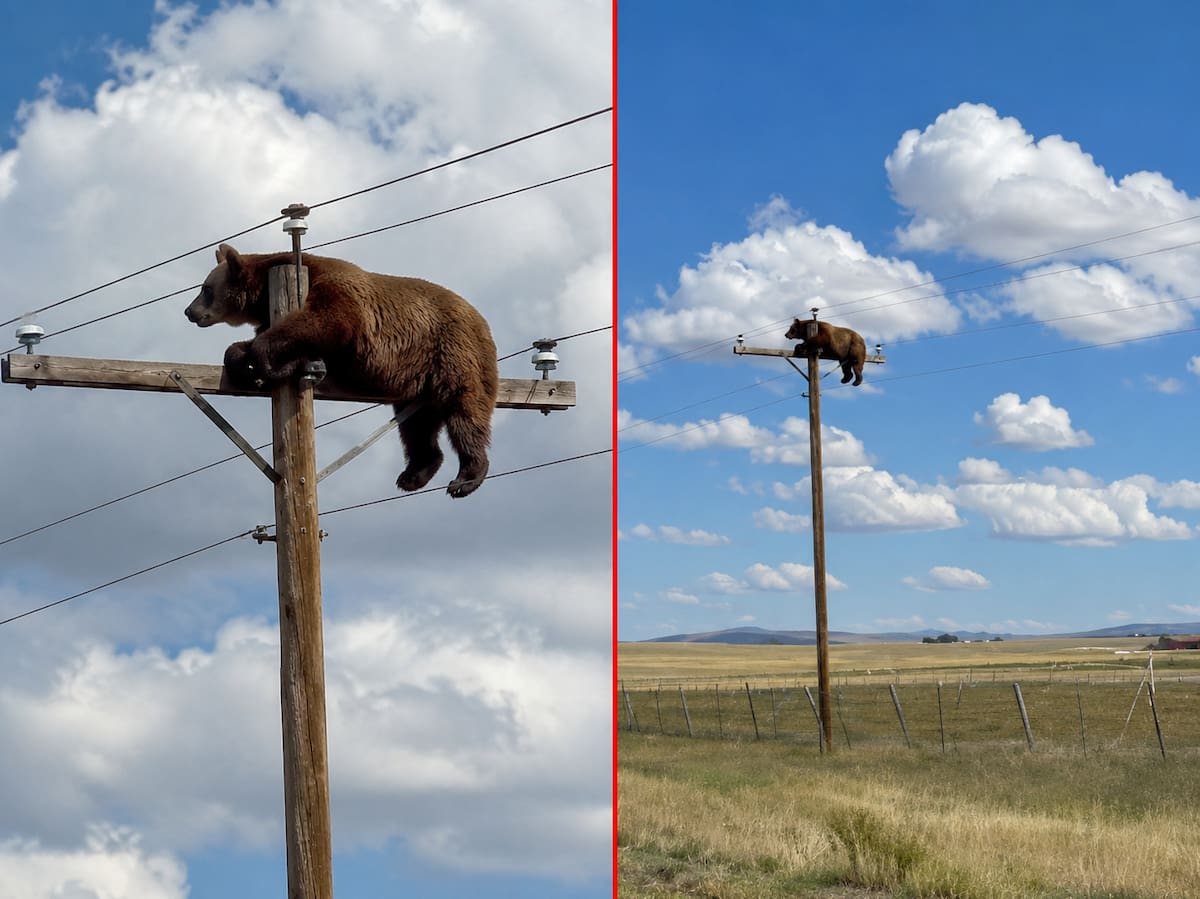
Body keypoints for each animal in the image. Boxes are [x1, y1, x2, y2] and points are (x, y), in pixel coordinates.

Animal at [185, 244, 499, 498]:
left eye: (205, 288)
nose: (189, 311)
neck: (263, 294)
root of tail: (483, 321)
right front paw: (241, 358)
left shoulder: (336, 291)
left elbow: (324, 320)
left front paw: (263, 359)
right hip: (416, 380)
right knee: (417, 426)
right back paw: (413, 474)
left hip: (453, 351)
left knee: (464, 411)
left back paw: (465, 478)